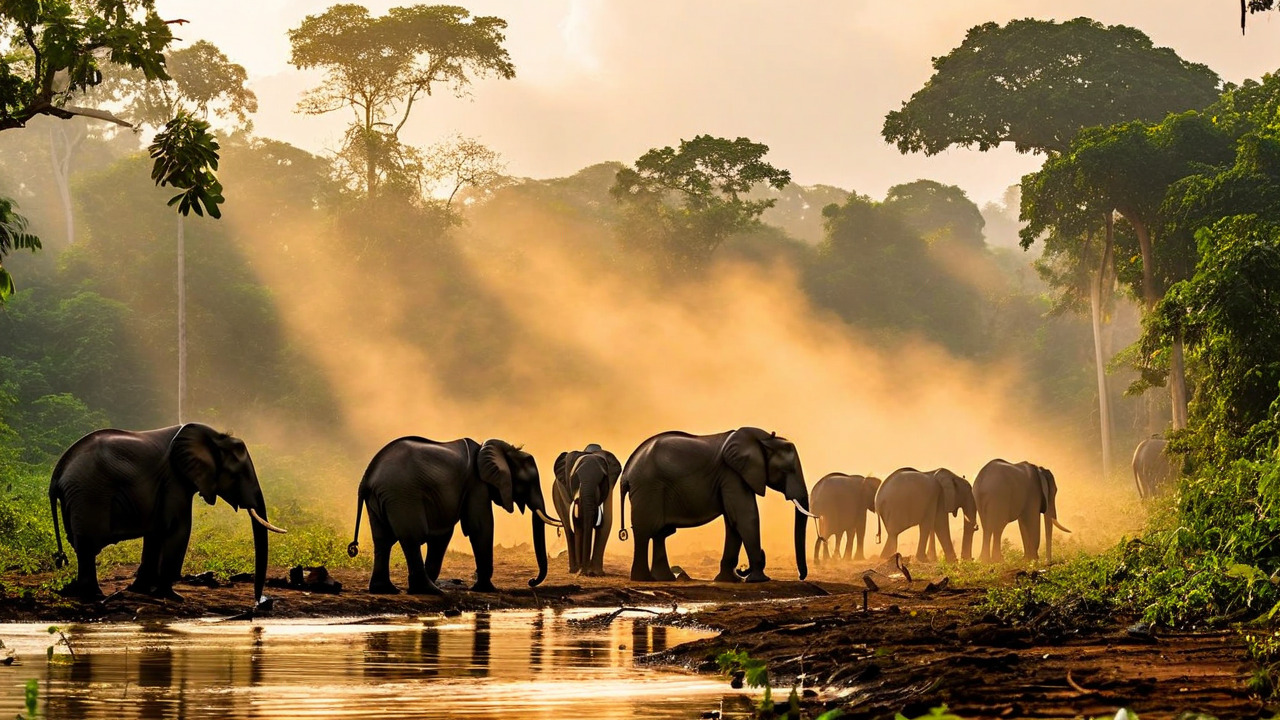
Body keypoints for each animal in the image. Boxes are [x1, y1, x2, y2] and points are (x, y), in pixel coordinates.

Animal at [47, 423, 286, 603]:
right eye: (238, 474)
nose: (260, 602)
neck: (213, 436)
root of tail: (57, 473)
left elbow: (156, 532)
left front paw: (141, 591)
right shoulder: (174, 479)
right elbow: (177, 528)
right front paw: (173, 597)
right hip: (88, 494)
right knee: (88, 547)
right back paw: (94, 596)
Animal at [348, 437, 561, 595]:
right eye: (527, 481)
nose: (531, 581)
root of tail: (366, 479)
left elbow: (443, 534)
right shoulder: (476, 484)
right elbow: (480, 526)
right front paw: (486, 589)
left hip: (380, 499)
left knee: (382, 540)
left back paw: (387, 589)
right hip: (401, 495)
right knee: (411, 538)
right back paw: (429, 591)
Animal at [552, 443, 622, 576]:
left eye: (602, 480)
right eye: (574, 479)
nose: (584, 572)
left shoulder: (610, 484)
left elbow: (606, 522)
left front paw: (596, 573)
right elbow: (577, 523)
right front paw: (583, 570)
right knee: (568, 528)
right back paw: (574, 569)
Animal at [617, 427, 814, 583]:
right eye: (787, 470)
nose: (801, 576)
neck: (763, 438)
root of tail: (626, 473)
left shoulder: (733, 476)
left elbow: (733, 521)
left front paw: (730, 580)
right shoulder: (732, 474)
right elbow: (745, 517)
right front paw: (760, 580)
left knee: (660, 534)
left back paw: (664, 578)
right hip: (648, 488)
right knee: (645, 532)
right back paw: (644, 579)